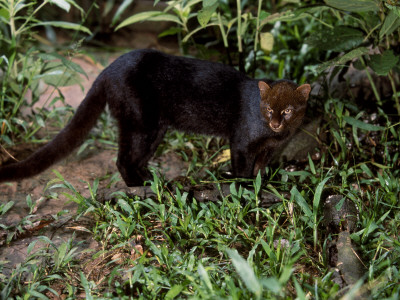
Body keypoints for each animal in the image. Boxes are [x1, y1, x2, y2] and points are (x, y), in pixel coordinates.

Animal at [0, 49, 310, 186]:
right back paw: (139, 186)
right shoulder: (242, 142)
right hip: (140, 122)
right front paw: (244, 187)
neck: (273, 136)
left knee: (136, 158)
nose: (276, 123)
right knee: (122, 158)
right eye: (268, 109)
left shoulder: (268, 150)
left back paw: (151, 180)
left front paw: (263, 185)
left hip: (154, 129)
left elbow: (260, 168)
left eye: (288, 111)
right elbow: (243, 168)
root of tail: (107, 69)